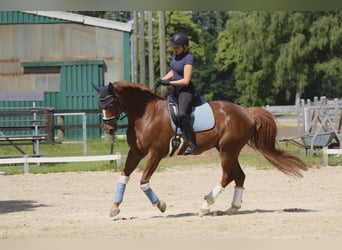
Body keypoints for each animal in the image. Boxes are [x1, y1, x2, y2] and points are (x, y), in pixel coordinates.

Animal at [93, 80, 308, 217]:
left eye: (111, 103)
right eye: (99, 104)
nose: (109, 129)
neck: (145, 114)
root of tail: (246, 112)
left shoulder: (155, 153)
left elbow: (144, 182)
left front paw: (161, 205)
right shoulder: (136, 152)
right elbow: (124, 176)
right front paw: (114, 208)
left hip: (228, 150)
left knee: (227, 176)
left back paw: (205, 205)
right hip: (228, 150)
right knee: (239, 176)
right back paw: (232, 208)